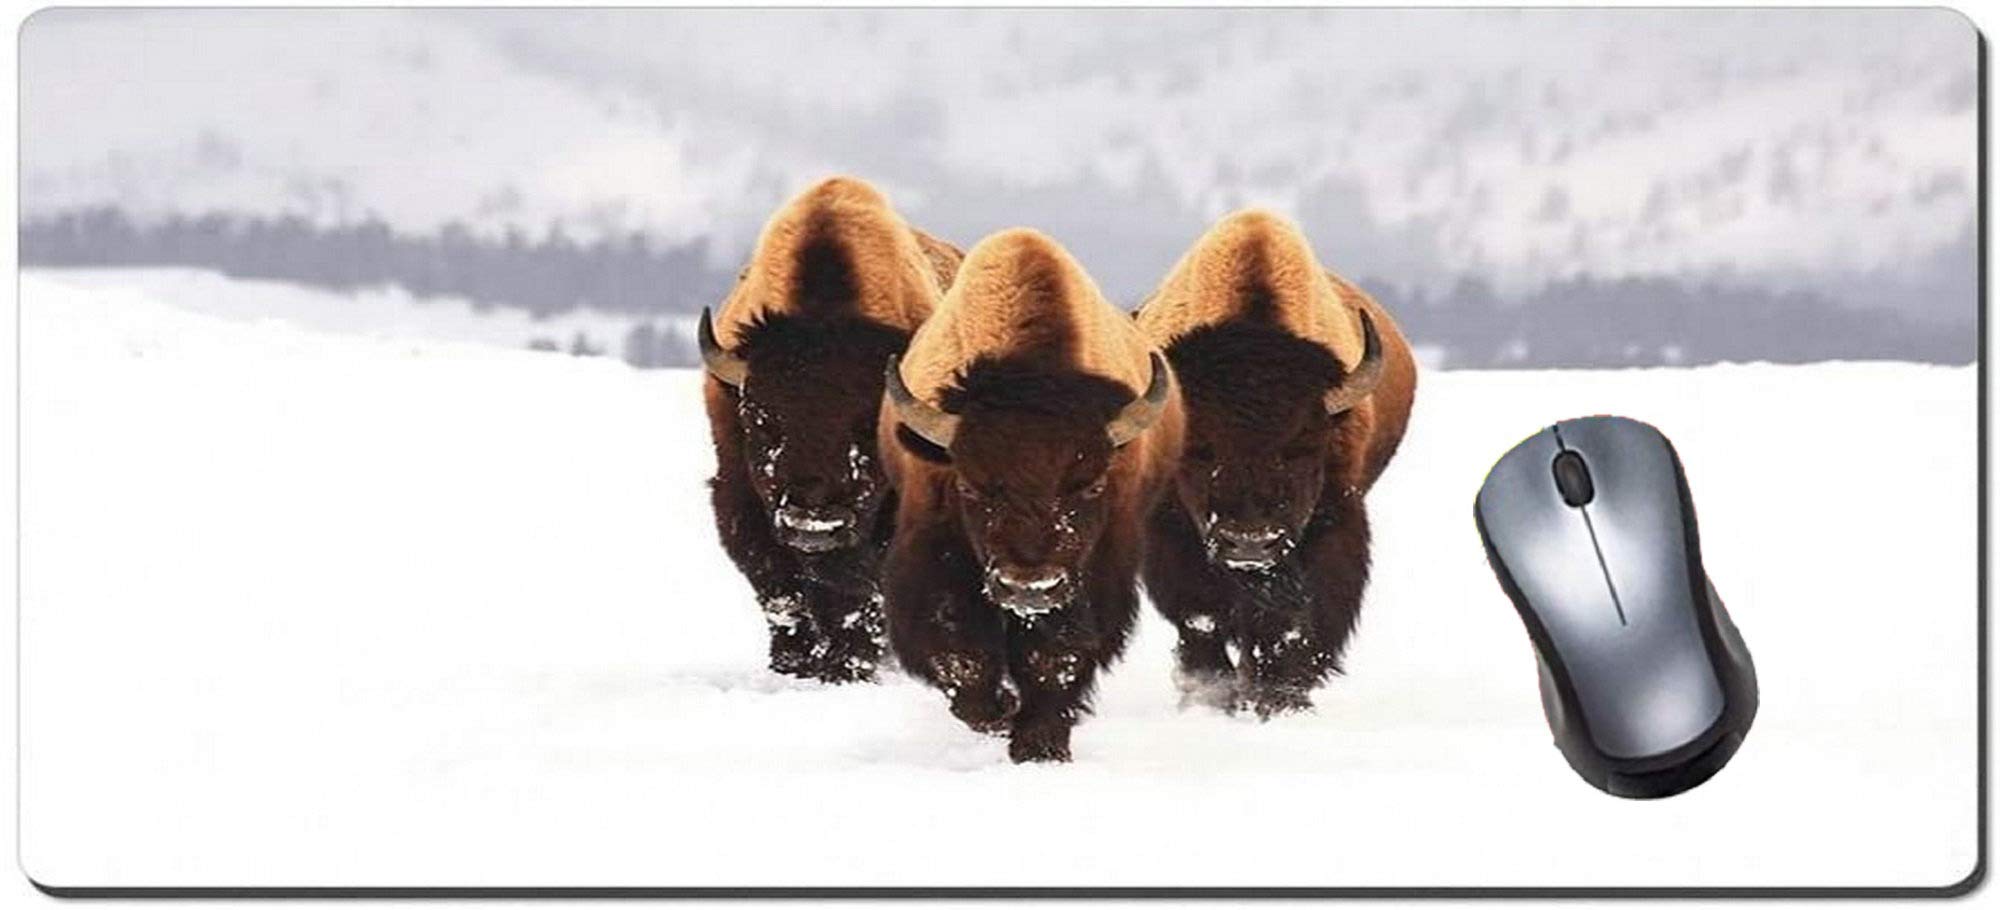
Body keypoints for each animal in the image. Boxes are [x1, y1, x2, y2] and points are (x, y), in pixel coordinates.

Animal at [700, 177, 963, 683]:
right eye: (760, 419)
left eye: (868, 427)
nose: (814, 523)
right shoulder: (740, 499)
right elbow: (782, 592)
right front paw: (794, 664)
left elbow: (860, 599)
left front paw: (847, 667)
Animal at [879, 229, 1185, 762]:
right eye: (968, 484)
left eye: (1092, 484)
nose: (1029, 586)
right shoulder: (934, 551)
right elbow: (959, 651)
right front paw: (1000, 712)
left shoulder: (1093, 571)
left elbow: (1055, 657)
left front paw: (1039, 745)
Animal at [1135, 210, 1417, 717]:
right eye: (1199, 449)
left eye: (1302, 446)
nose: (1250, 543)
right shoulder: (1170, 537)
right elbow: (1201, 620)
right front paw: (1213, 698)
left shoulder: (1333, 526)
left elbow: (1293, 627)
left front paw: (1281, 700)